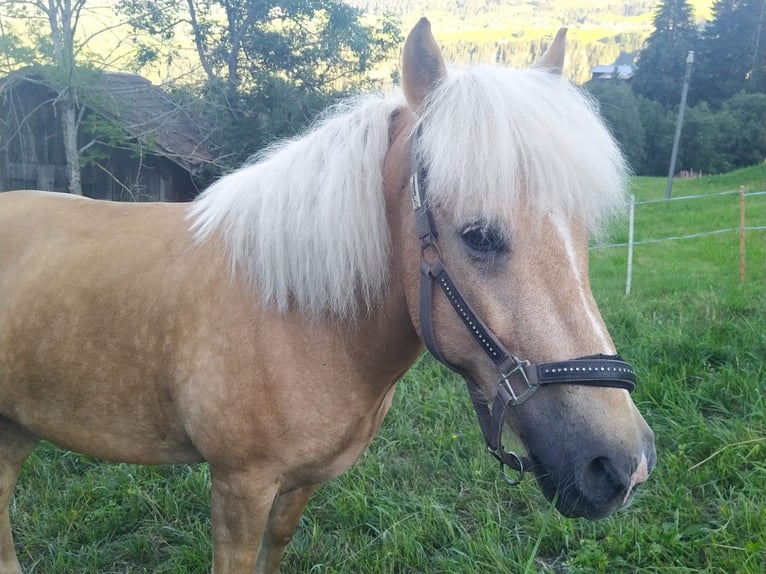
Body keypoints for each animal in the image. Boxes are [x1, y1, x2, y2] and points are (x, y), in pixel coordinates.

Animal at [1, 18, 656, 574]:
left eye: (581, 234)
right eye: (478, 235)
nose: (622, 466)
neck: (297, 315)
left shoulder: (299, 484)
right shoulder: (239, 485)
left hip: (18, 424)